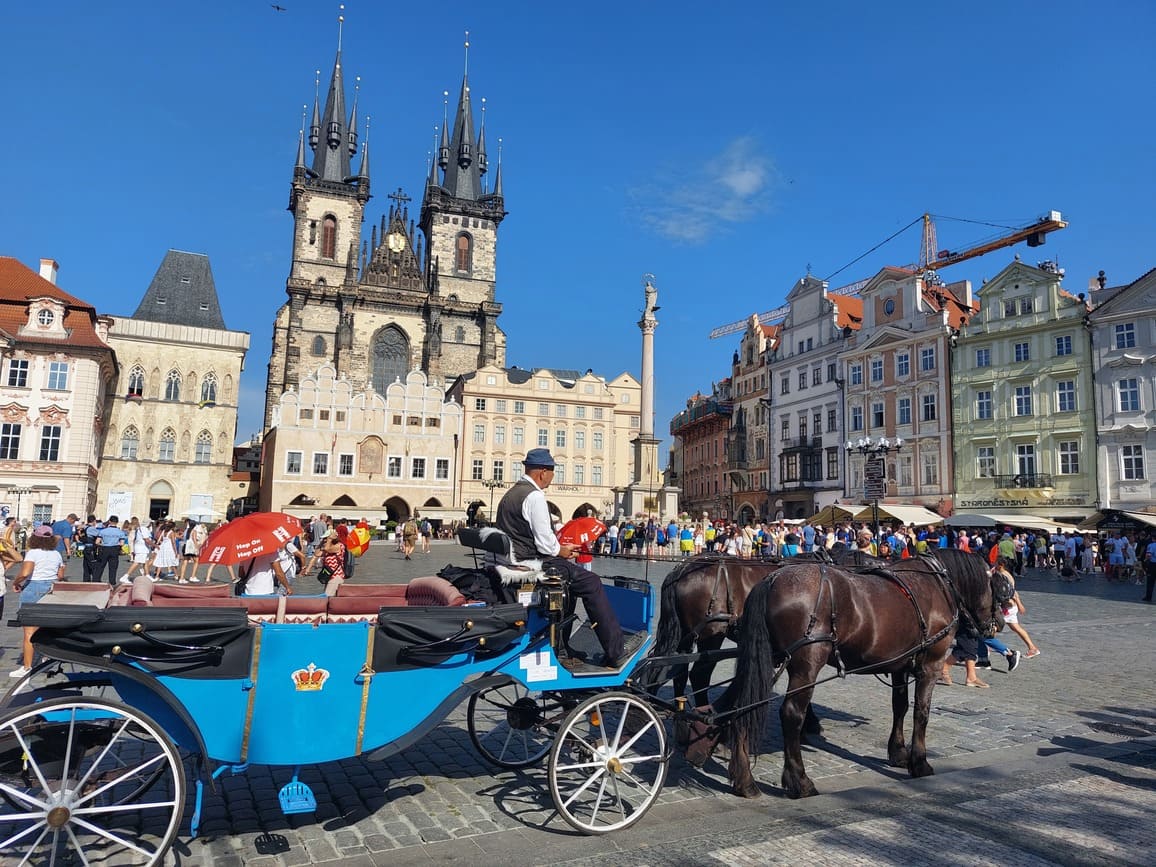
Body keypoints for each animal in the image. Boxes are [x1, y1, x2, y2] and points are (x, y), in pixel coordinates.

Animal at [716, 550, 1008, 799]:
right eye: (998, 587)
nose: (1000, 623)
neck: (939, 585)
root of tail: (771, 579)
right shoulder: (930, 666)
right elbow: (921, 713)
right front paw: (919, 762)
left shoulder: (900, 665)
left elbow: (900, 706)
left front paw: (898, 752)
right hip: (805, 666)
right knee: (790, 714)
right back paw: (799, 781)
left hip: (762, 660)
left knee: (742, 705)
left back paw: (745, 781)